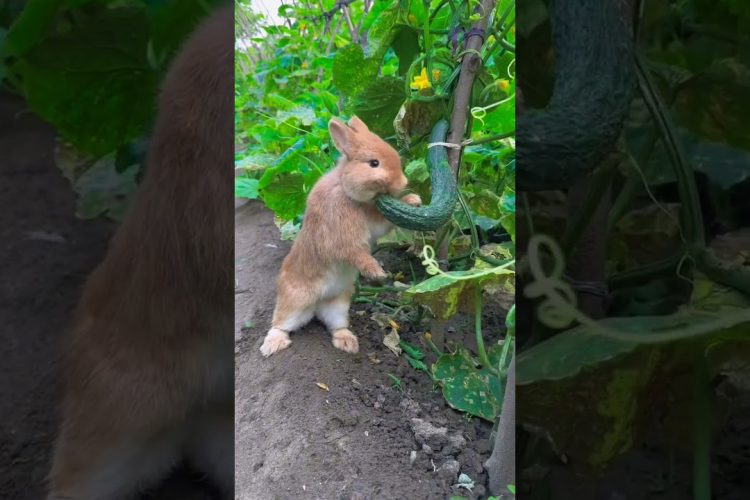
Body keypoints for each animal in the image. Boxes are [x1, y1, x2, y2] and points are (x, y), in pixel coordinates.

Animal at [260, 116, 421, 357]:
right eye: (374, 163)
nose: (401, 183)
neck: (346, 190)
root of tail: (316, 304)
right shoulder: (342, 237)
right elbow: (356, 253)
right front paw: (377, 273)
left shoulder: (373, 223)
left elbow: (383, 224)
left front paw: (413, 200)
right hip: (295, 301)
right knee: (280, 324)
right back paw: (272, 346)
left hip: (338, 306)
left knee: (336, 326)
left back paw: (348, 343)